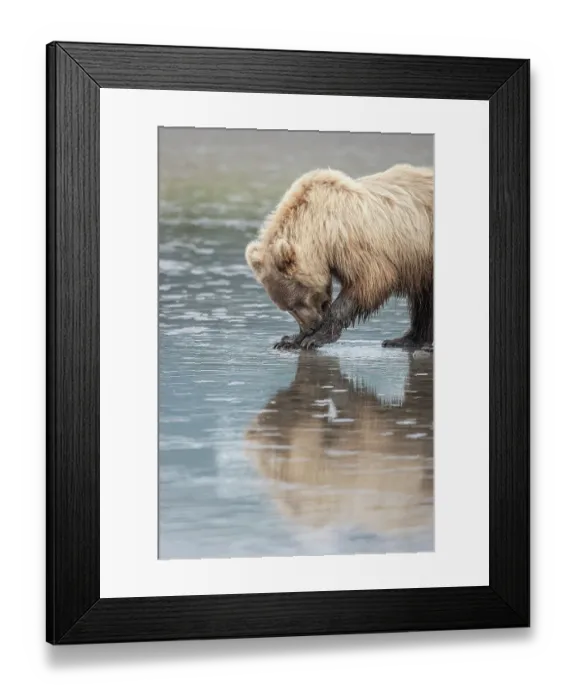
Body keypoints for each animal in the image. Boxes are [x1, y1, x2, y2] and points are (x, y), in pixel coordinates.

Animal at [244, 163, 434, 350]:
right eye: (288, 308)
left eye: (296, 303)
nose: (310, 327)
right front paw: (290, 340)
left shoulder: (353, 243)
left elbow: (368, 282)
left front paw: (316, 337)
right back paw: (406, 339)